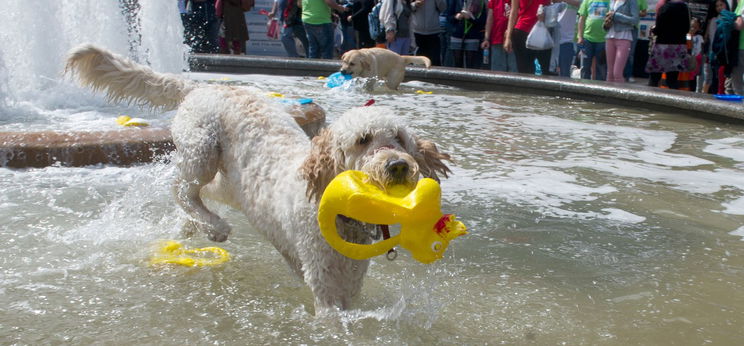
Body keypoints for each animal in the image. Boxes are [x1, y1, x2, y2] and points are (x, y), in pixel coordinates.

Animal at [67, 44, 454, 314]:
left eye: (399, 138)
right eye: (363, 140)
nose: (398, 165)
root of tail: (200, 87)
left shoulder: (349, 276)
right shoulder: (325, 280)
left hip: (231, 181)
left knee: (199, 193)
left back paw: (192, 225)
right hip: (202, 147)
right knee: (180, 187)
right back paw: (213, 227)